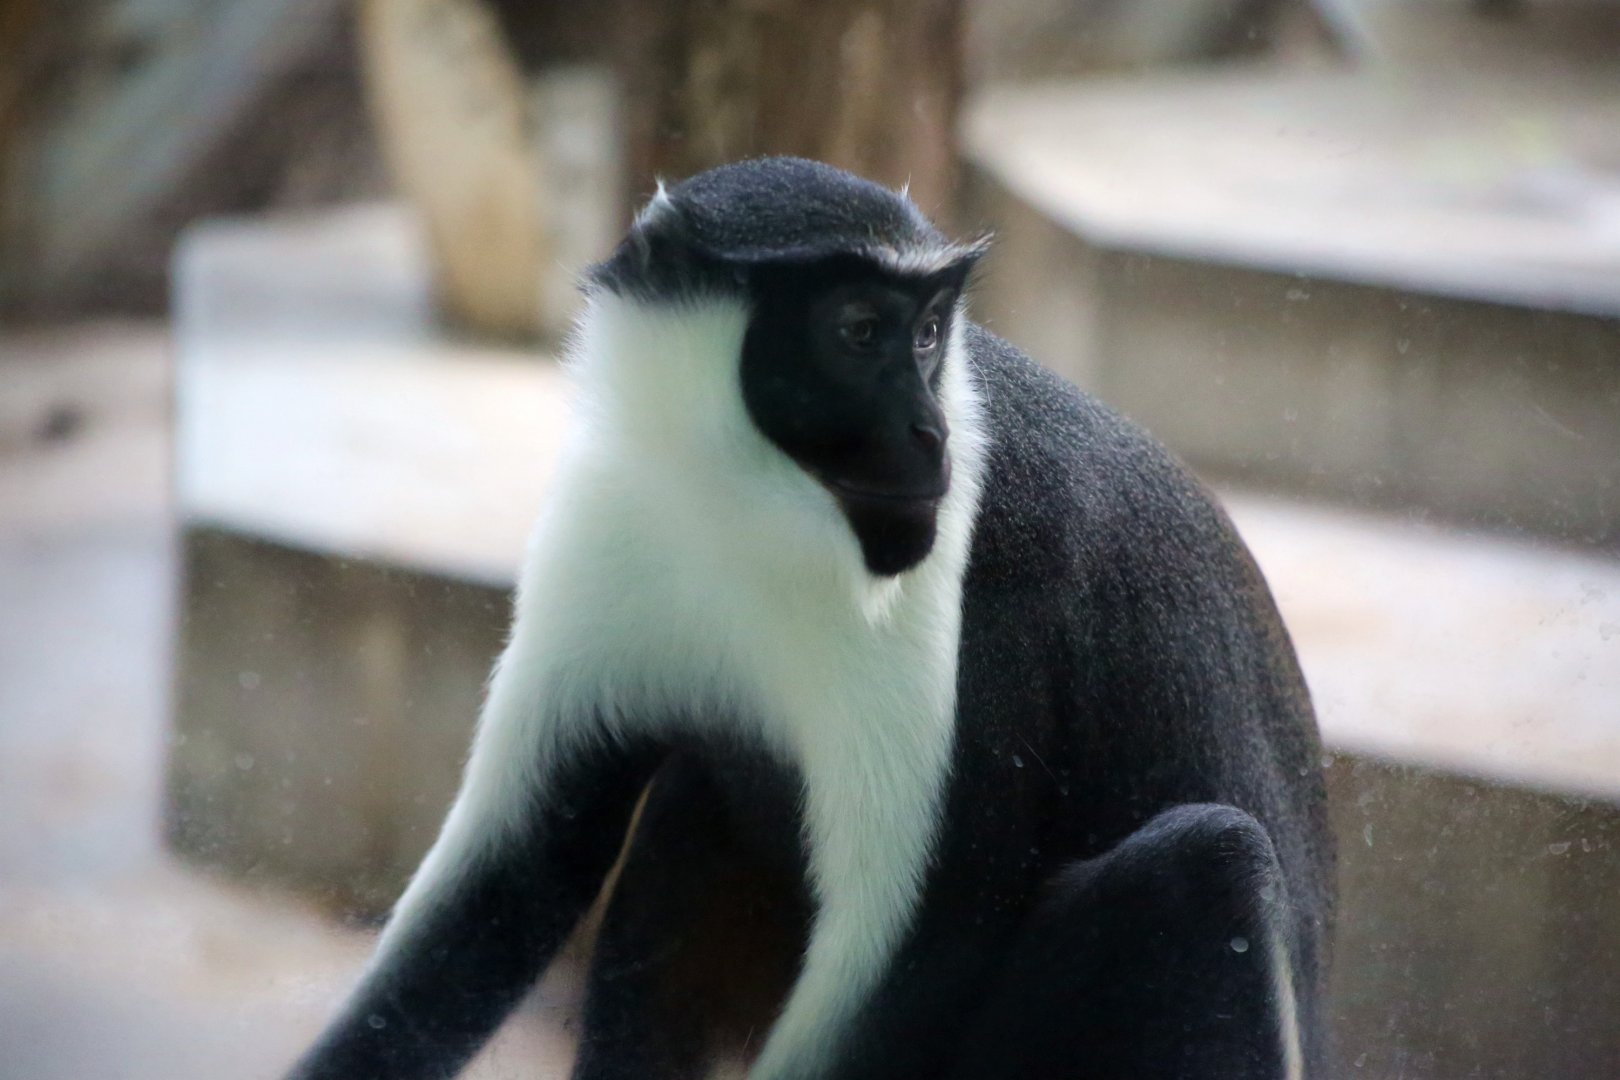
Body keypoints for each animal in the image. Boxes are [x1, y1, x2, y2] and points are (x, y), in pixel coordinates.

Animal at [286, 156, 1334, 1080]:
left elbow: (920, 953)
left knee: (1206, 868)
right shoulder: (614, 520)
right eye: (859, 329)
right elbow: (515, 872)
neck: (743, 501)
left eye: (929, 335)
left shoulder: (979, 602)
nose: (929, 435)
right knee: (693, 795)